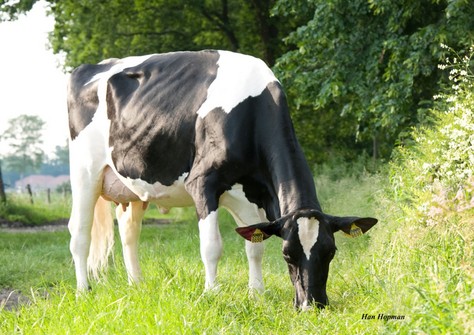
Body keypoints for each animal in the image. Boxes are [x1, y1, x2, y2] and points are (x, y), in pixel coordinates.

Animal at [67, 50, 378, 310]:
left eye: (331, 252)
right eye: (288, 255)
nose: (311, 305)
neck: (250, 113)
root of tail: (89, 66)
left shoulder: (253, 195)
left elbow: (255, 246)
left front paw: (256, 294)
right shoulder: (203, 182)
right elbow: (212, 246)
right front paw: (212, 293)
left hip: (132, 184)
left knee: (128, 232)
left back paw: (137, 285)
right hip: (85, 171)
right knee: (79, 232)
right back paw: (83, 291)